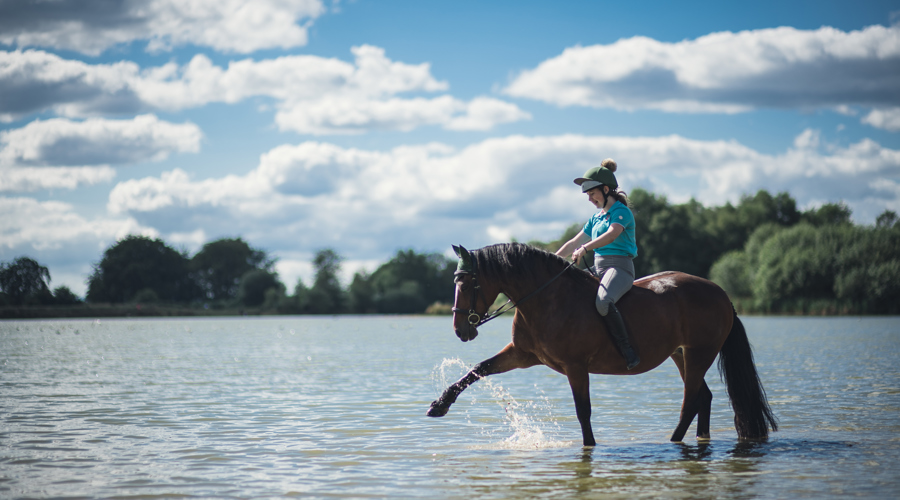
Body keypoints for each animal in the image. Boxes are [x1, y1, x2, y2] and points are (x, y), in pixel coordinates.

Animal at [427, 243, 777, 447]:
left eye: (467, 283)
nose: (460, 329)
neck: (546, 299)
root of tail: (720, 292)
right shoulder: (523, 355)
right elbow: (478, 369)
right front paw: (440, 404)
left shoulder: (575, 366)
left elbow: (583, 411)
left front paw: (589, 447)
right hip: (682, 356)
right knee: (703, 397)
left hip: (699, 353)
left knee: (691, 401)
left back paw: (672, 442)